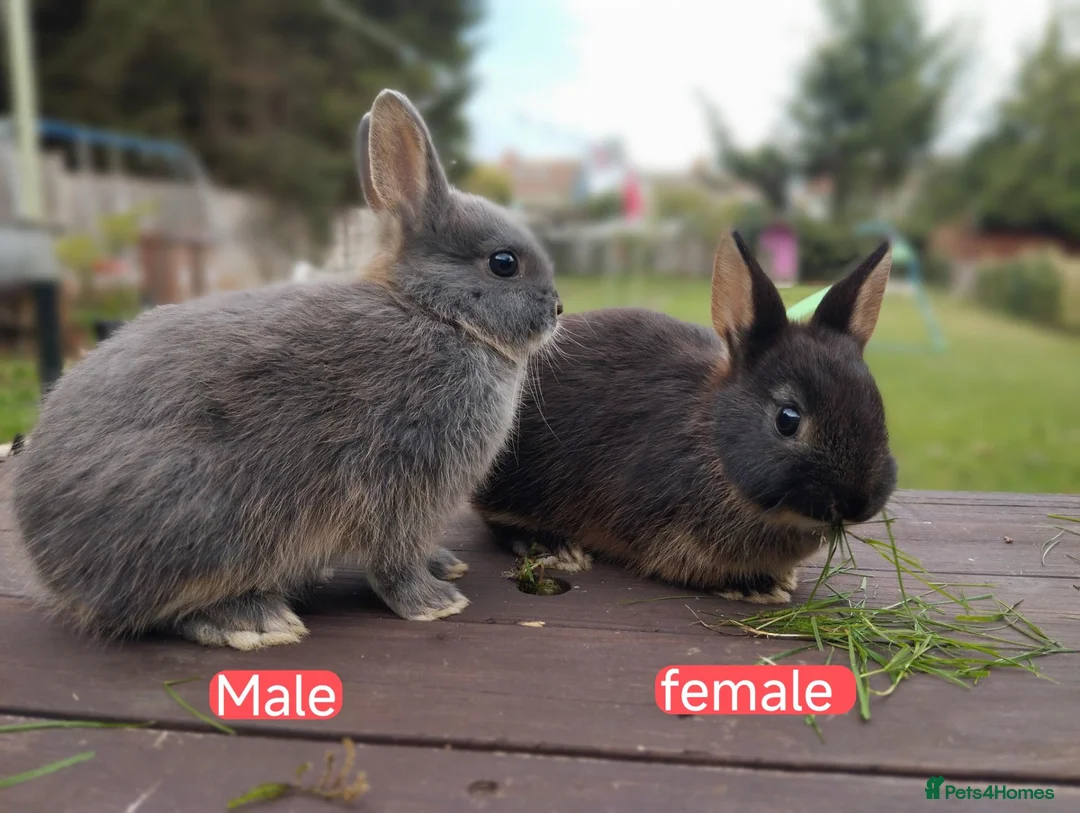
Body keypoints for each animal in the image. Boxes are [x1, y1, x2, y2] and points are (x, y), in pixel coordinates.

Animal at [11, 89, 562, 650]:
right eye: (503, 263)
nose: (559, 309)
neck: (438, 314)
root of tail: (54, 570)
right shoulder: (401, 485)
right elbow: (394, 561)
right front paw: (435, 603)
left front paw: (446, 566)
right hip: (204, 522)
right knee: (166, 610)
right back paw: (254, 620)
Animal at [471, 230, 897, 604]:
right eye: (787, 419)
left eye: (876, 404)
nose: (857, 504)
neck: (713, 441)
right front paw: (757, 588)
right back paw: (555, 546)